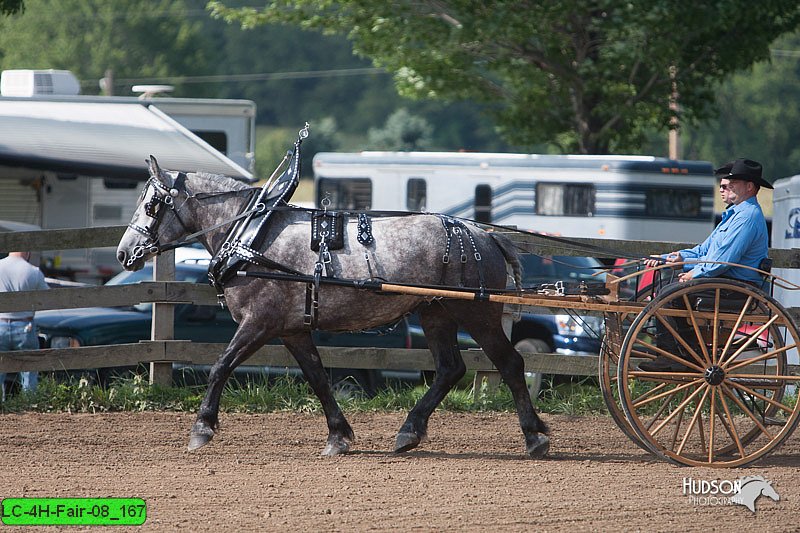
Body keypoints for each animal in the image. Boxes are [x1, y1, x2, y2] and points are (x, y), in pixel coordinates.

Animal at [115, 158, 552, 458]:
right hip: (436, 313)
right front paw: (339, 436)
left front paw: (202, 428)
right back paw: (409, 432)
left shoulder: (259, 323)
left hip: (478, 315)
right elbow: (318, 378)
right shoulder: (293, 330)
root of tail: (485, 235)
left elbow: (220, 365)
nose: (124, 252)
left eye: (152, 205)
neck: (252, 237)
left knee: (510, 364)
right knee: (450, 369)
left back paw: (534, 436)